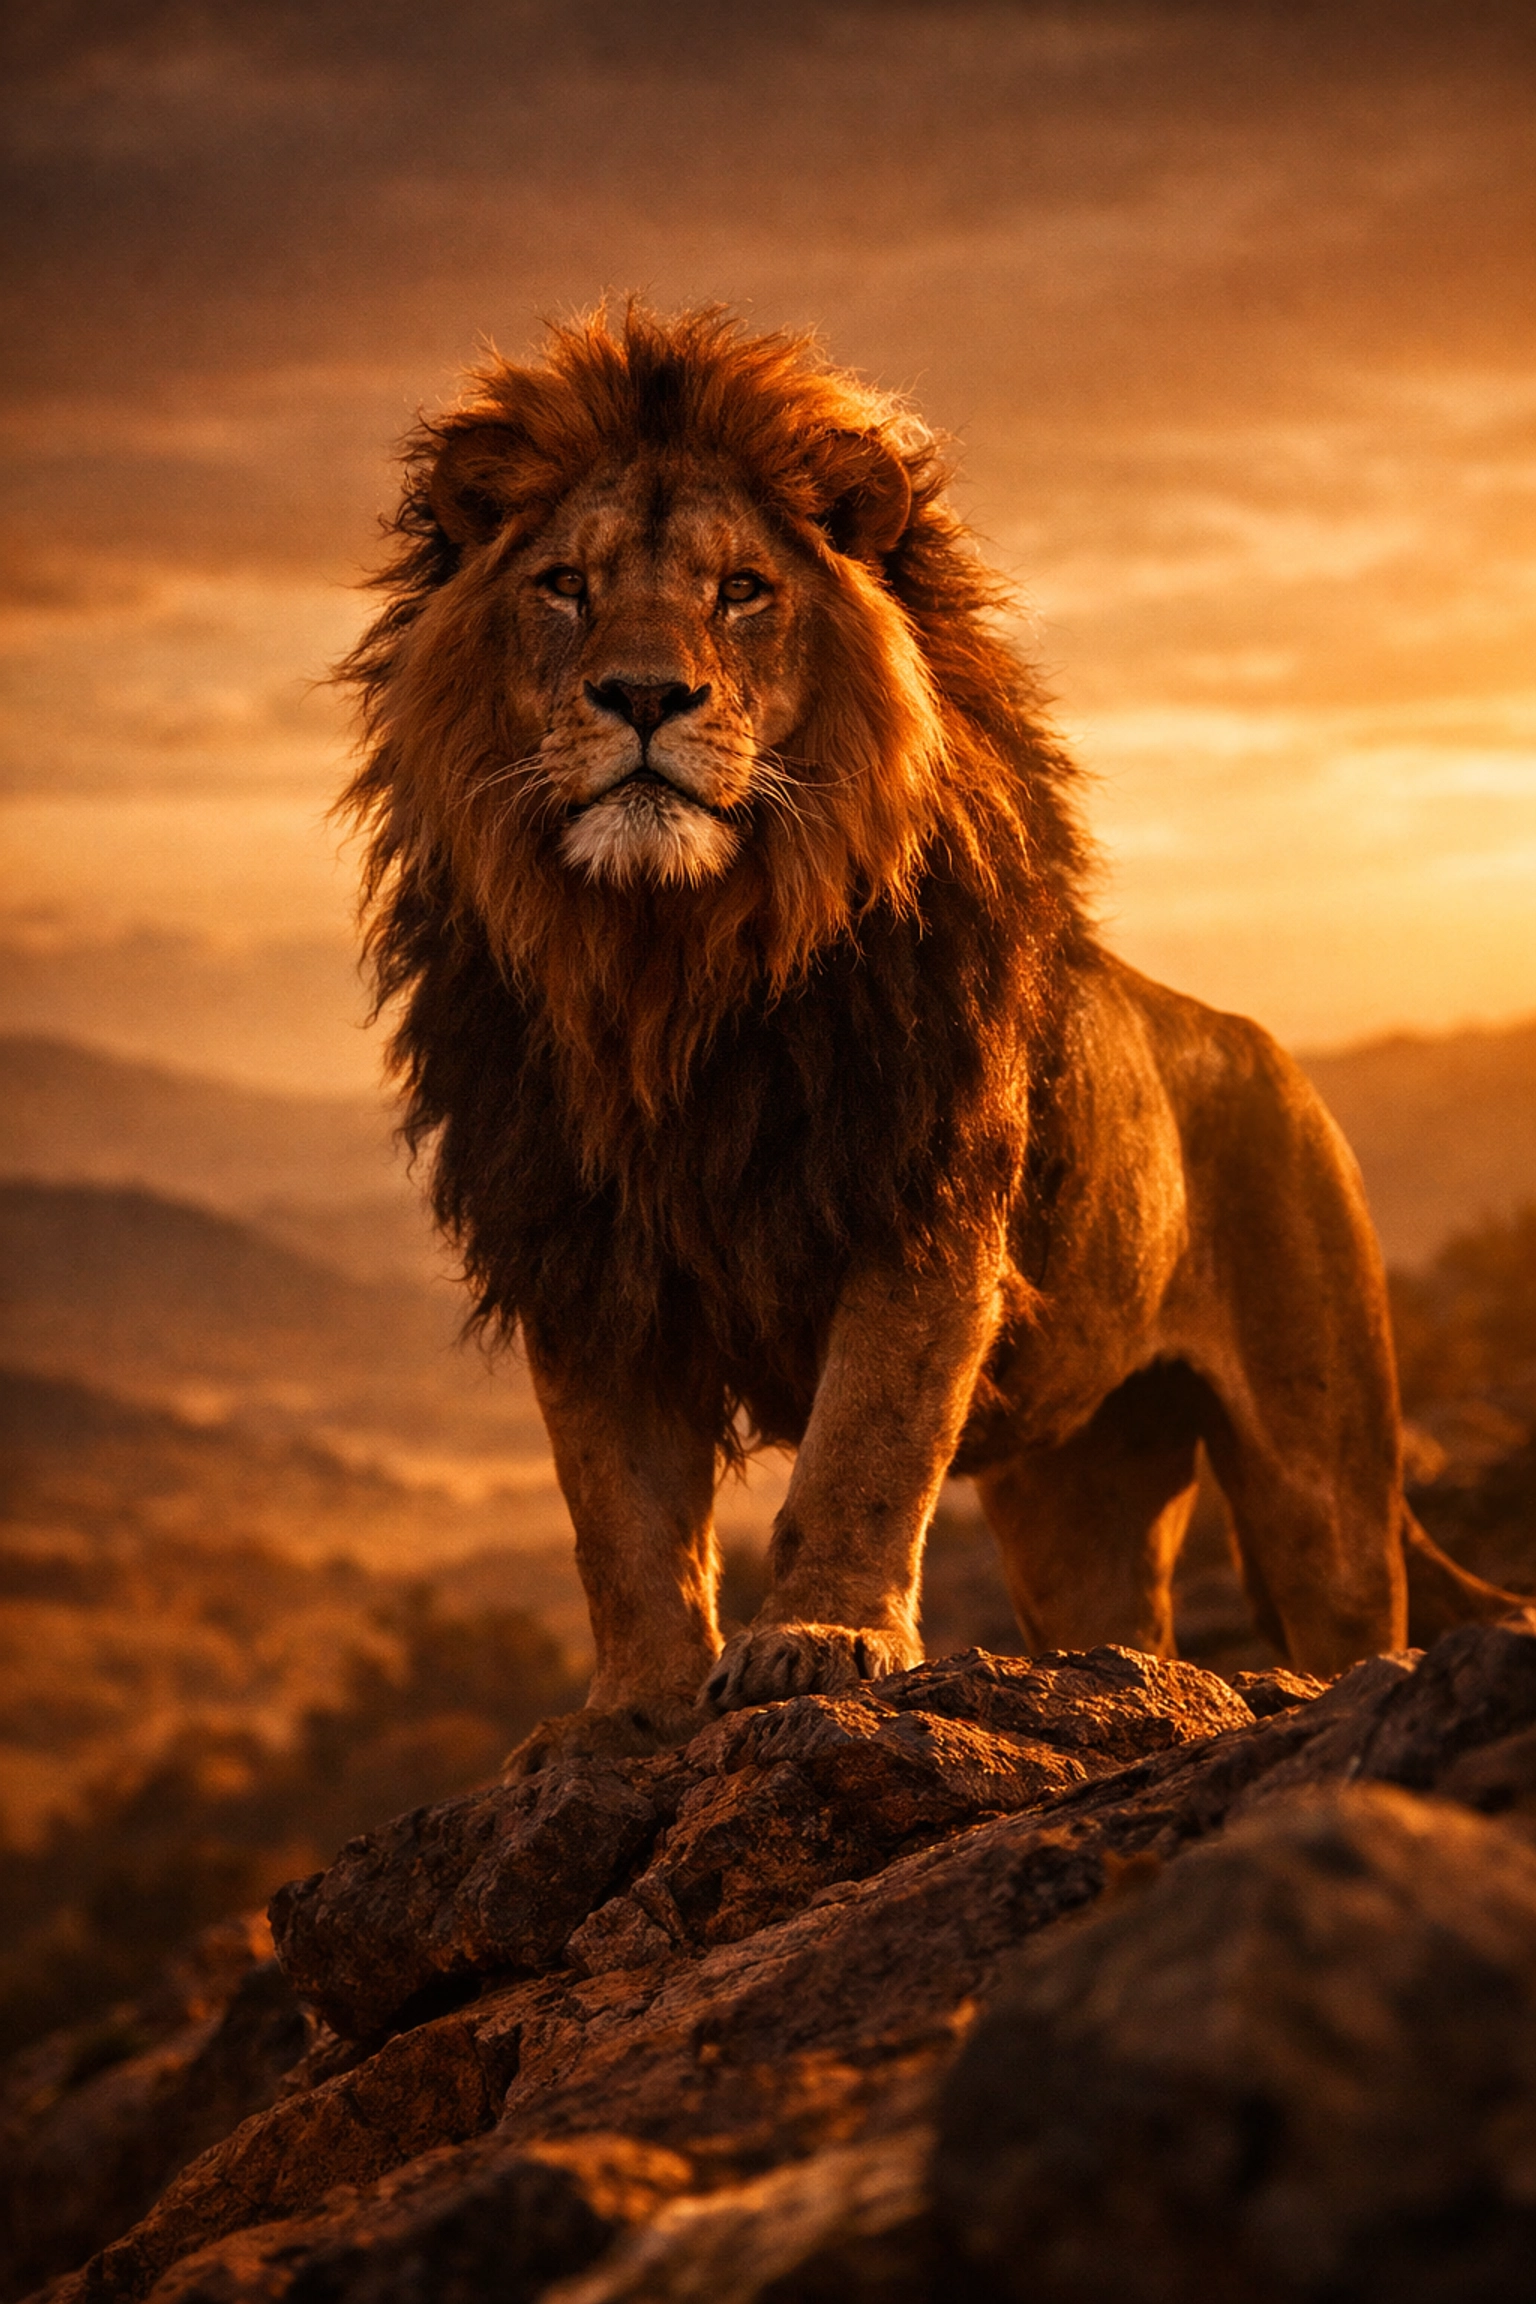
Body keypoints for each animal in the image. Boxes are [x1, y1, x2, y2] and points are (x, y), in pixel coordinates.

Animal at [340, 303, 1518, 1771]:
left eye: (741, 590)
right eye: (565, 584)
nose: (643, 696)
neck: (670, 958)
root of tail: (1264, 1052)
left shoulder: (921, 1196)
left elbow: (868, 1435)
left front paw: (821, 1641)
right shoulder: (580, 1250)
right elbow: (620, 1515)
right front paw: (628, 1709)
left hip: (1323, 1476)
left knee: (1352, 1613)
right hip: (1079, 1483)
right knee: (1121, 1615)